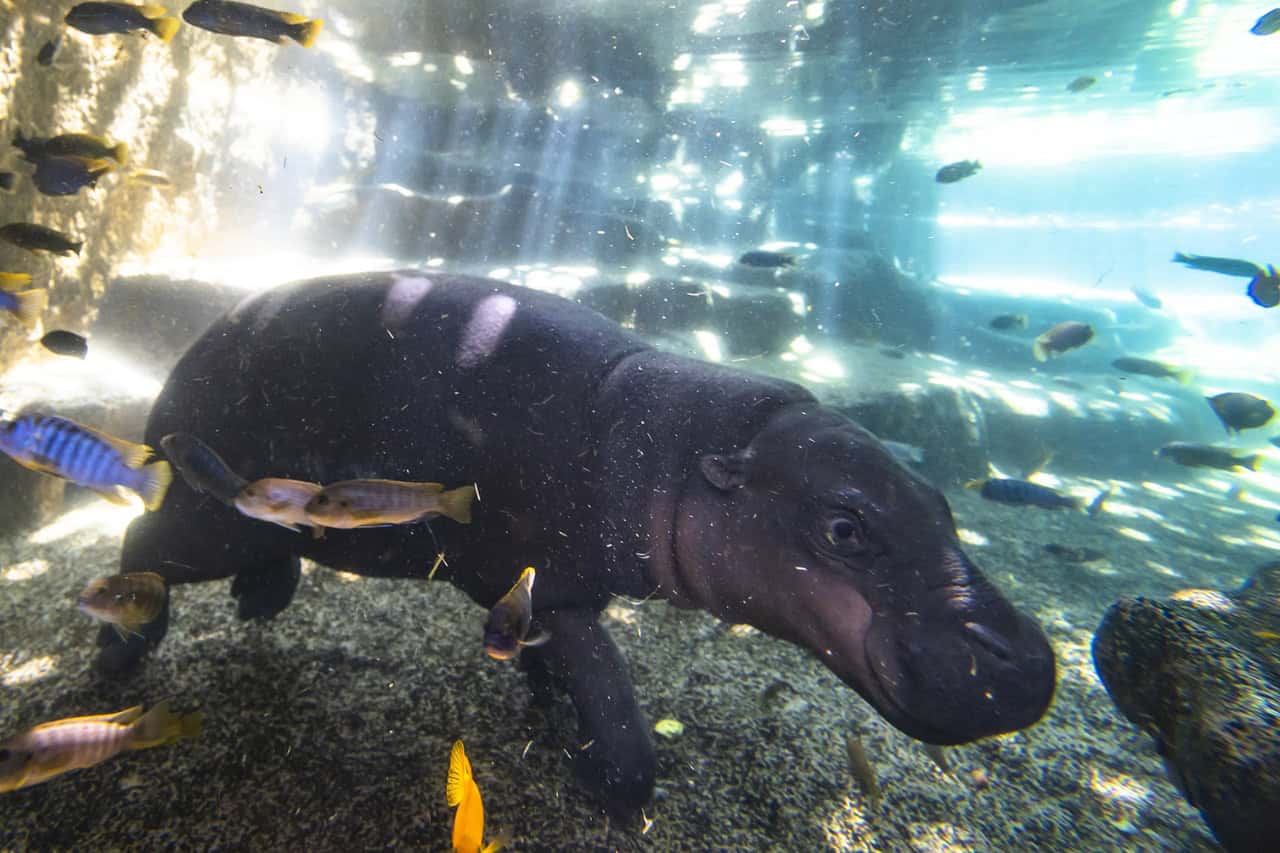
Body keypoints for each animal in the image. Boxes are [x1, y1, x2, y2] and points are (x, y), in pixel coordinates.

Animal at [100, 271, 1056, 814]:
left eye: (941, 501)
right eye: (845, 527)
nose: (1026, 661)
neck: (680, 449)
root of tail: (177, 373)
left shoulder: (545, 596)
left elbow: (558, 675)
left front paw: (553, 721)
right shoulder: (557, 591)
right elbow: (626, 732)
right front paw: (605, 785)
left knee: (259, 545)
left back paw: (261, 601)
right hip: (205, 515)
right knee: (139, 541)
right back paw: (117, 662)